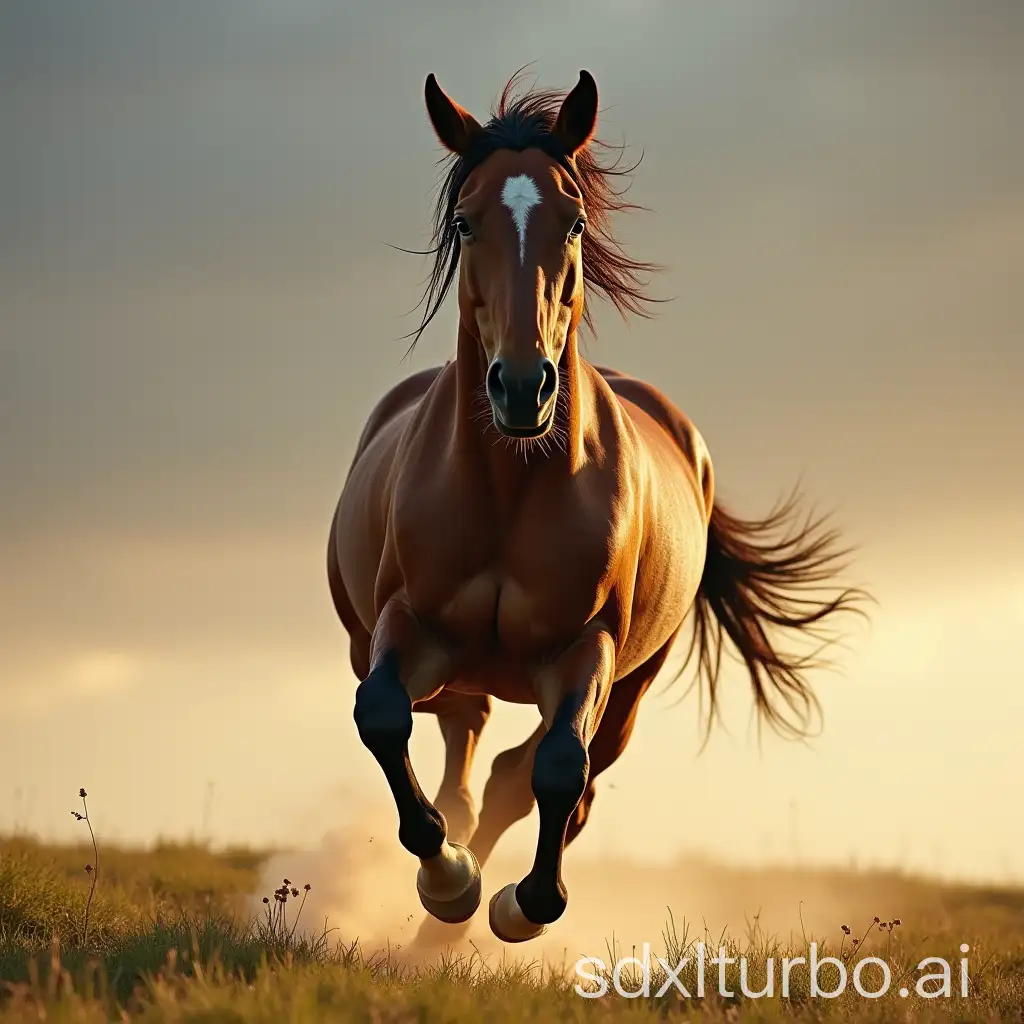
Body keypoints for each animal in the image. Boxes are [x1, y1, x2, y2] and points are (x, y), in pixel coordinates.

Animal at [327, 66, 872, 942]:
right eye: (466, 221)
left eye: (574, 219)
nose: (522, 387)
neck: (510, 490)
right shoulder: (409, 626)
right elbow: (382, 715)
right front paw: (447, 879)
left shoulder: (590, 651)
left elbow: (557, 770)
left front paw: (519, 904)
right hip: (429, 659)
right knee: (466, 743)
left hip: (633, 686)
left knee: (530, 777)